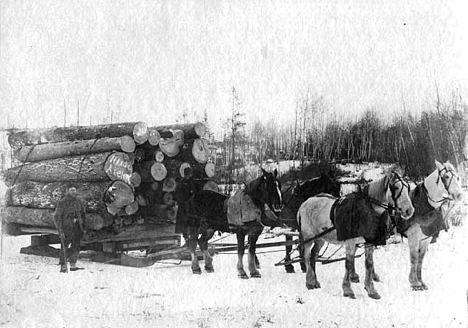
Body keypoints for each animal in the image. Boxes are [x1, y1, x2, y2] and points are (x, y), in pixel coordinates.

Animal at [298, 172, 414, 300]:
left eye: (408, 188)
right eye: (396, 187)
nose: (409, 211)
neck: (366, 211)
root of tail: (305, 203)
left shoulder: (369, 242)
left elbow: (369, 264)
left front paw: (371, 289)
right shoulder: (350, 242)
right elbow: (348, 264)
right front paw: (347, 289)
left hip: (320, 238)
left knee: (314, 254)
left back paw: (315, 280)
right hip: (309, 237)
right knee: (307, 255)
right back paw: (309, 281)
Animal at [396, 160, 462, 290]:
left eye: (457, 177)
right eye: (446, 176)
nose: (459, 195)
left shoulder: (425, 239)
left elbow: (420, 260)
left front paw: (420, 282)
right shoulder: (413, 239)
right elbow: (414, 259)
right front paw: (414, 283)